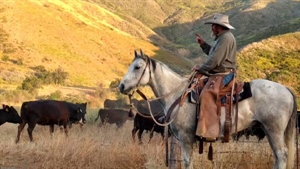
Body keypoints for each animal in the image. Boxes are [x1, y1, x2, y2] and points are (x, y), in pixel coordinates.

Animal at [118, 49, 296, 168]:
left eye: (137, 67)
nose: (121, 86)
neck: (176, 93)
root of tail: (287, 90)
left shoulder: (185, 137)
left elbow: (187, 162)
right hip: (269, 130)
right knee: (277, 156)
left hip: (274, 129)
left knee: (281, 155)